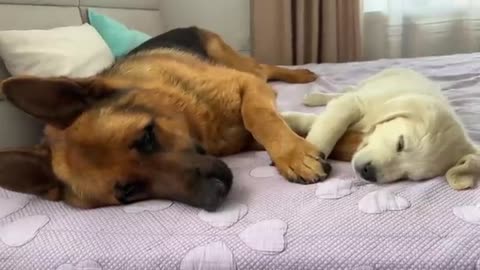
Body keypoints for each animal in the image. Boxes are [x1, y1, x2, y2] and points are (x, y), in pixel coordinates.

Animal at [0, 28, 346, 211]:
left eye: (146, 137)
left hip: (243, 67)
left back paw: (301, 74)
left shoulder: (247, 87)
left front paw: (294, 155)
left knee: (265, 68)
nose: (214, 196)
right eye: (128, 191)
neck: (195, 121)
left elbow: (259, 116)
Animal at [284, 68, 478, 190]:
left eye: (409, 176)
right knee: (346, 91)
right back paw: (315, 97)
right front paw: (307, 160)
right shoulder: (356, 103)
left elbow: (317, 121)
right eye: (400, 143)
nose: (368, 173)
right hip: (369, 82)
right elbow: (329, 128)